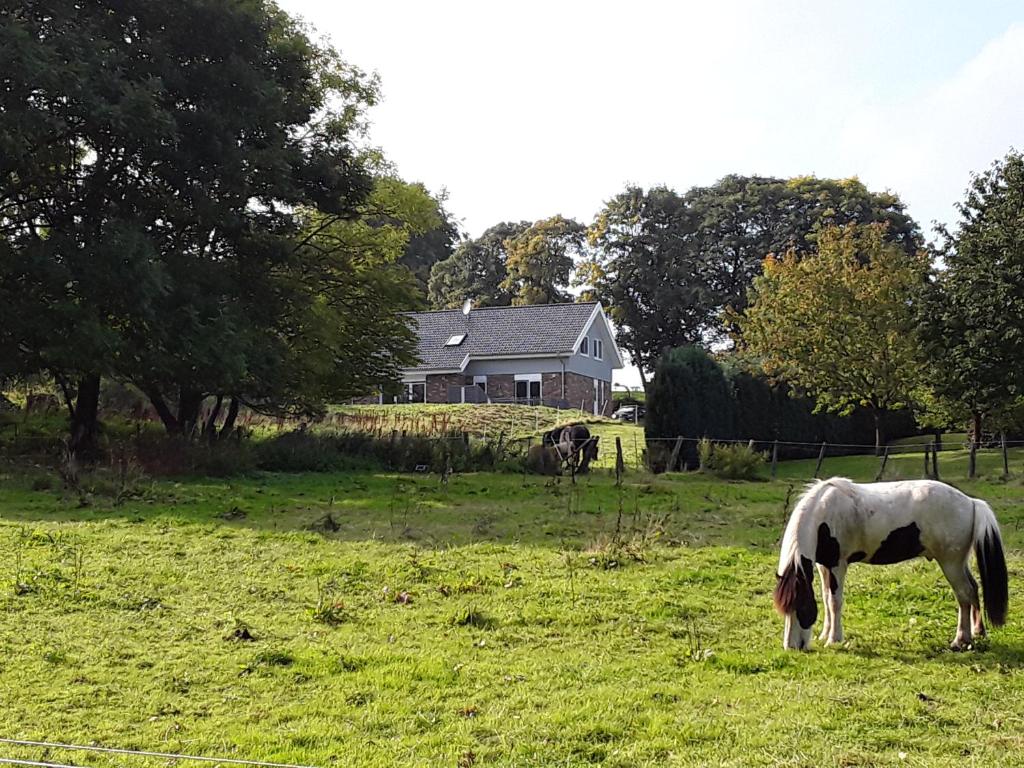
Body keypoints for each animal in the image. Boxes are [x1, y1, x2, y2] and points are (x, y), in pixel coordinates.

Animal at [774, 479, 1007, 651]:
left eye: (801, 607)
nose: (791, 647)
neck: (823, 513)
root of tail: (971, 502)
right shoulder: (825, 565)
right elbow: (825, 597)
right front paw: (824, 635)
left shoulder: (838, 565)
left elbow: (834, 602)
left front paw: (834, 639)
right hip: (959, 563)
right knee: (974, 588)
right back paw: (978, 632)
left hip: (950, 564)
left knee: (964, 594)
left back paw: (961, 640)